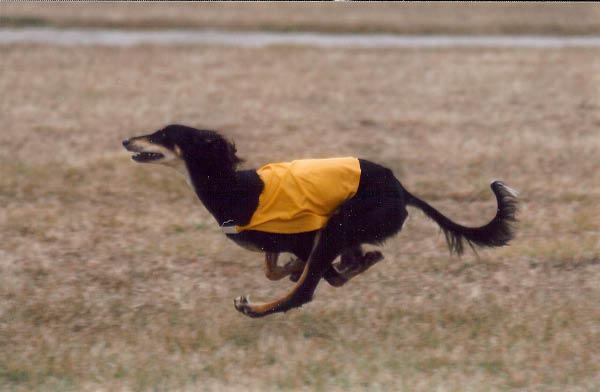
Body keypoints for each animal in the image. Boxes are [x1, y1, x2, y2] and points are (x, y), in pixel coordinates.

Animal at [122, 124, 516, 316]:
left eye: (161, 135)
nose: (126, 141)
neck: (232, 186)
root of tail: (401, 189)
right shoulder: (284, 243)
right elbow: (273, 267)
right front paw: (292, 267)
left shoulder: (304, 234)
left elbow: (301, 274)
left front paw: (298, 271)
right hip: (346, 228)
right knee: (351, 263)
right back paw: (358, 262)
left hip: (339, 226)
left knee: (304, 293)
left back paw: (254, 308)